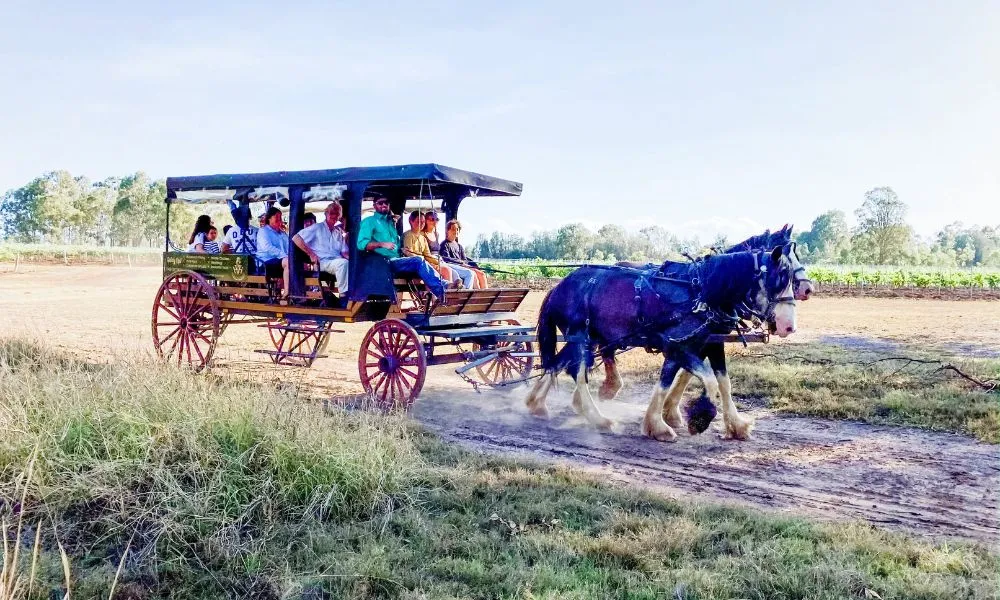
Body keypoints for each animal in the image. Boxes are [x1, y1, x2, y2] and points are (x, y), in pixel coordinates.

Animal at [524, 244, 799, 442]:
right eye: (779, 279)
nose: (788, 326)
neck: (701, 292)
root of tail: (559, 286)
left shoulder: (708, 342)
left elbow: (720, 382)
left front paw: (736, 425)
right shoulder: (677, 345)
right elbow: (705, 379)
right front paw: (692, 418)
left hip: (584, 338)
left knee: (556, 363)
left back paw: (537, 404)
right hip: (580, 335)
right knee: (577, 373)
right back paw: (598, 419)